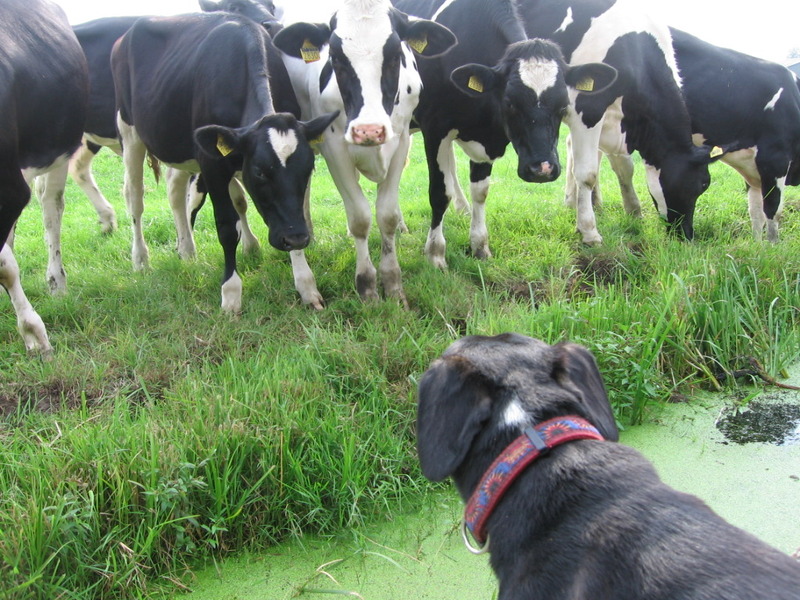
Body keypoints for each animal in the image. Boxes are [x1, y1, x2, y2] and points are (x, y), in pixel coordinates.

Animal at [112, 11, 338, 314]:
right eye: (260, 172)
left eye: (308, 168)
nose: (296, 239)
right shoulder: (212, 163)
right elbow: (227, 227)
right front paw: (231, 295)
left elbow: (287, 211)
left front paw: (307, 286)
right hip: (129, 130)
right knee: (135, 196)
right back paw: (141, 259)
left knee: (175, 191)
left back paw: (187, 249)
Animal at [274, 0, 456, 308]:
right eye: (335, 58)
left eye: (395, 55)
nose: (368, 130)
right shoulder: (334, 147)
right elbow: (359, 218)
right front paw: (367, 286)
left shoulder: (401, 139)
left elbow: (386, 216)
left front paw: (393, 284)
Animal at [592, 28, 800, 241]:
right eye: (704, 184)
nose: (684, 235)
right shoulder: (775, 157)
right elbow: (772, 209)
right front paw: (771, 244)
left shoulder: (753, 169)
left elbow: (756, 210)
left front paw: (757, 244)